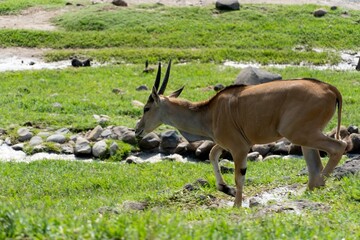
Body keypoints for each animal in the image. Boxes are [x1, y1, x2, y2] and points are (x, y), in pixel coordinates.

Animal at [134, 61, 348, 207]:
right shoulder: (228, 144)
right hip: (305, 138)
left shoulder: (239, 148)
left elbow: (239, 177)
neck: (210, 111)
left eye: (146, 108)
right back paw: (308, 192)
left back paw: (320, 183)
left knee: (339, 147)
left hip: (300, 134)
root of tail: (330, 89)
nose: (137, 130)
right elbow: (212, 154)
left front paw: (236, 204)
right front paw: (225, 189)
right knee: (315, 167)